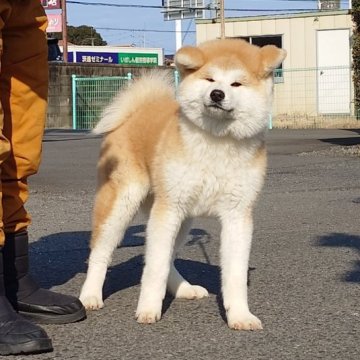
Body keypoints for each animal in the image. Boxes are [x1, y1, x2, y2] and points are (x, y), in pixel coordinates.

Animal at [79, 38, 286, 330]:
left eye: (236, 84)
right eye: (210, 79)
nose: (217, 94)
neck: (216, 141)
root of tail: (138, 110)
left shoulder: (238, 215)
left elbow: (234, 274)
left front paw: (240, 315)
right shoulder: (168, 208)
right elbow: (154, 268)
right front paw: (148, 309)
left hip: (183, 220)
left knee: (168, 257)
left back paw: (183, 288)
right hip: (123, 203)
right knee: (101, 252)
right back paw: (90, 295)